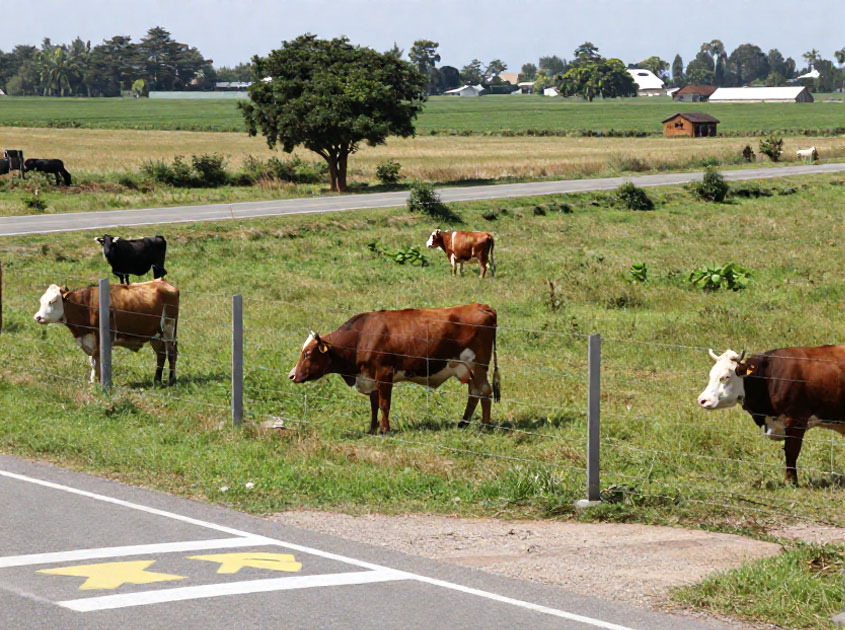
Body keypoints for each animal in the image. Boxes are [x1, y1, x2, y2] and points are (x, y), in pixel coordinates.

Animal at [34, 279, 179, 386]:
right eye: (41, 301)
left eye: (52, 301)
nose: (38, 317)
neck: (85, 306)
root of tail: (162, 282)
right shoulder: (90, 340)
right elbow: (93, 361)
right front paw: (93, 382)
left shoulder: (102, 338)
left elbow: (99, 360)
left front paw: (100, 383)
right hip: (156, 334)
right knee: (161, 354)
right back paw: (157, 380)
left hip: (169, 328)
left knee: (171, 353)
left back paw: (171, 380)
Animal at [288, 303, 501, 434]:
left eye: (307, 354)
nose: (291, 375)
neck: (361, 337)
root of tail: (481, 306)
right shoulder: (370, 377)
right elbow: (374, 405)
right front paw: (372, 429)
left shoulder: (384, 373)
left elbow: (384, 404)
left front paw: (385, 430)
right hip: (468, 368)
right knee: (474, 393)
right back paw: (463, 423)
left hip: (478, 365)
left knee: (484, 391)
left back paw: (485, 425)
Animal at [698, 347, 845, 484]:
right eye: (711, 375)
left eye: (726, 377)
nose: (702, 400)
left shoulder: (797, 419)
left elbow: (791, 450)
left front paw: (790, 481)